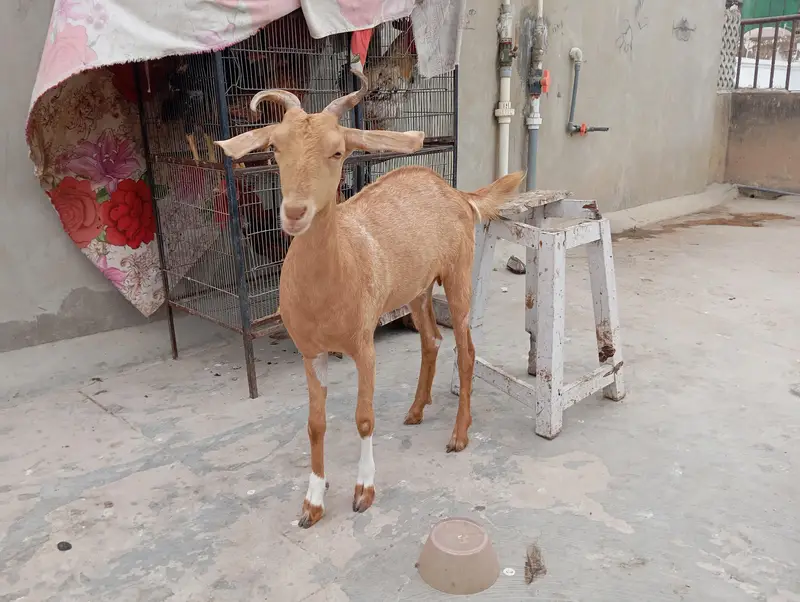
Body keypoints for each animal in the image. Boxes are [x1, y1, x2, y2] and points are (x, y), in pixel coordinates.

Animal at [215, 71, 524, 529]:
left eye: (338, 151)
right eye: (275, 147)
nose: (295, 213)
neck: (330, 284)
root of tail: (457, 193)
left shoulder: (364, 345)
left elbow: (363, 419)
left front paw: (364, 491)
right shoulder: (311, 351)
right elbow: (316, 423)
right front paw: (312, 502)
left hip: (457, 276)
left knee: (466, 349)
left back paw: (458, 435)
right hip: (416, 289)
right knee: (431, 340)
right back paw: (416, 410)